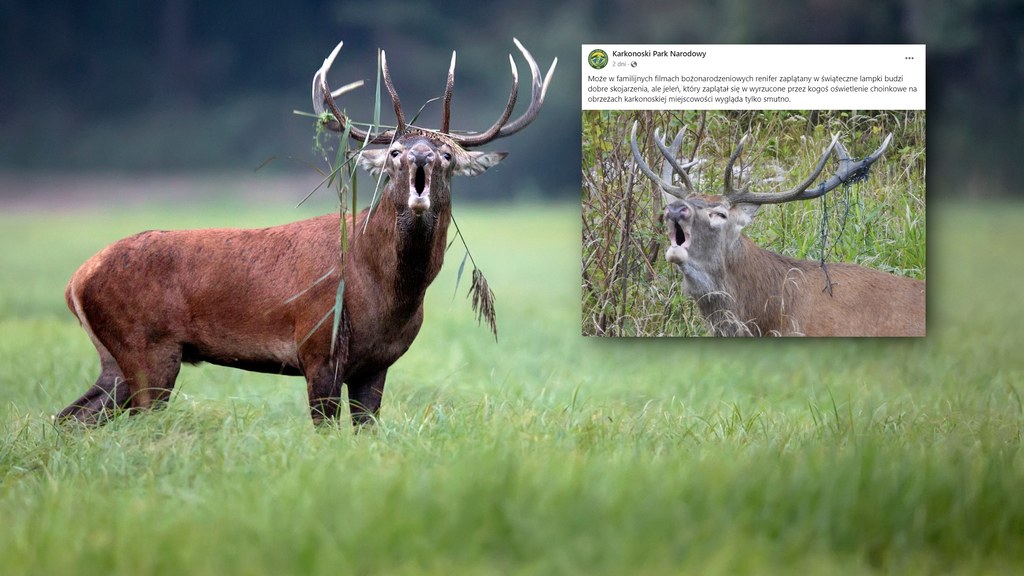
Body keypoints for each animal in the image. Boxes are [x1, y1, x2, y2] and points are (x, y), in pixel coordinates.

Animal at [56, 39, 557, 422]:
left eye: (448, 154)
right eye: (394, 151)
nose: (421, 156)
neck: (385, 293)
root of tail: (76, 280)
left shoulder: (376, 365)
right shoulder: (316, 345)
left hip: (117, 358)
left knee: (71, 417)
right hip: (148, 348)